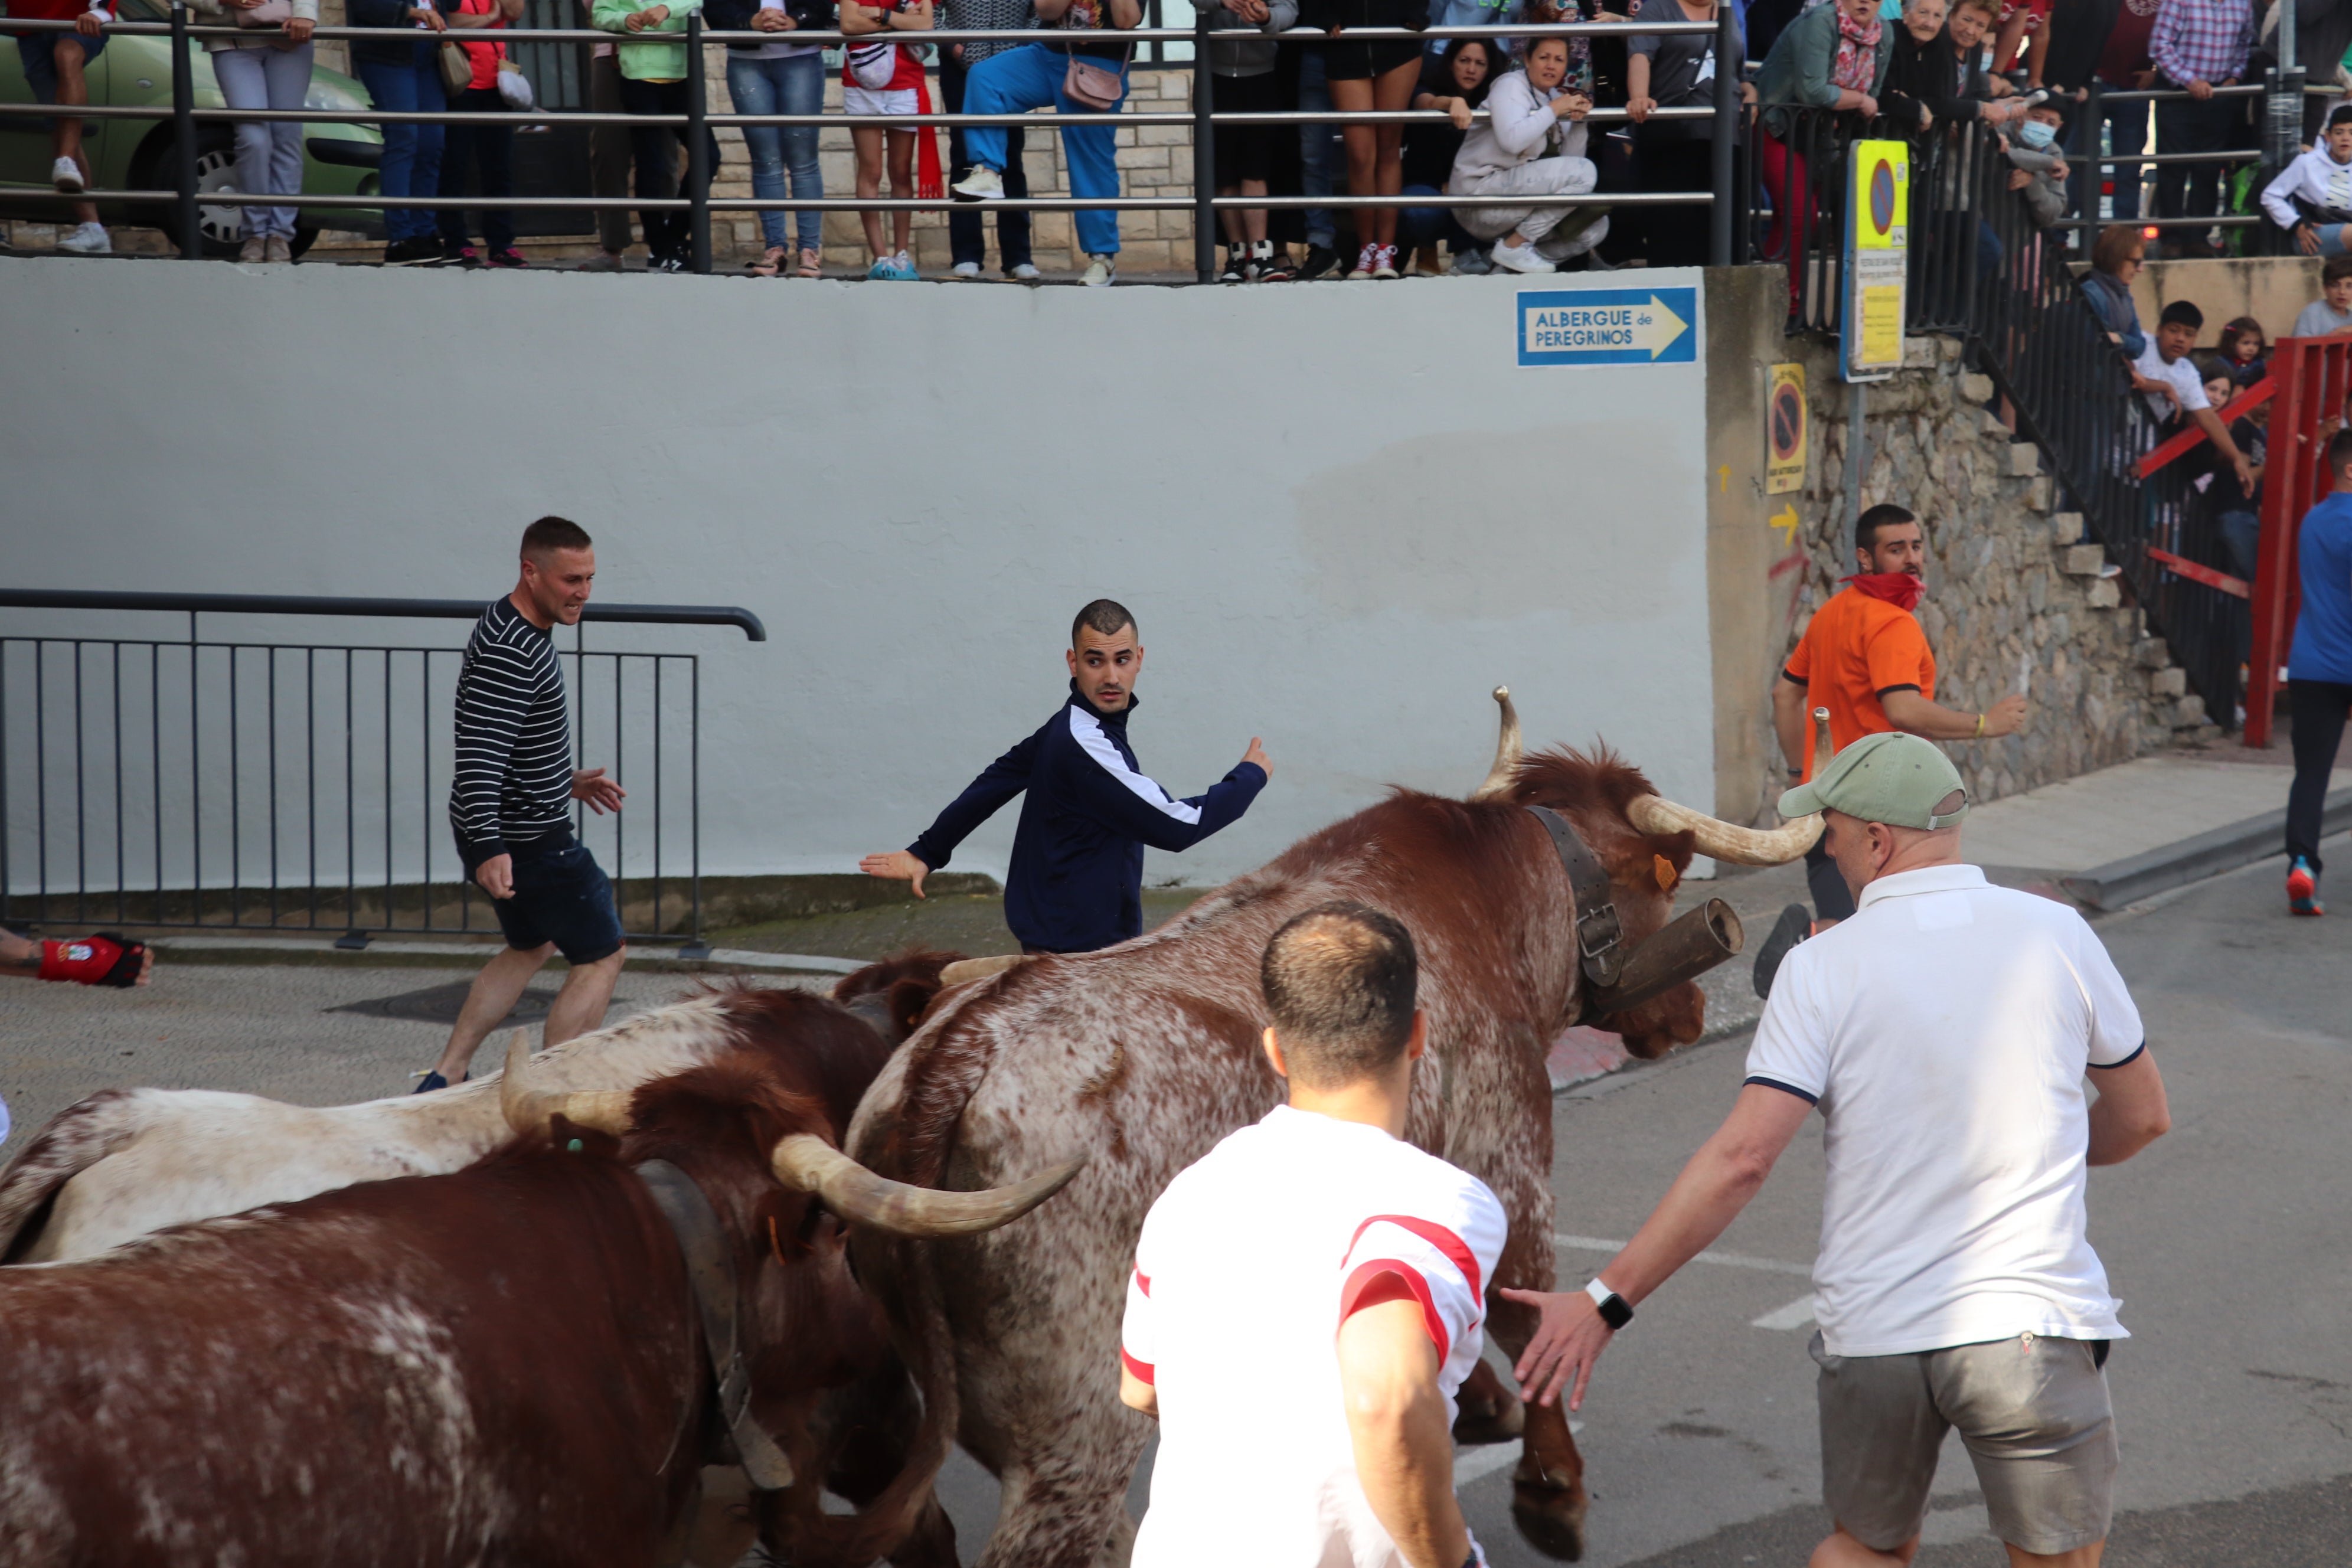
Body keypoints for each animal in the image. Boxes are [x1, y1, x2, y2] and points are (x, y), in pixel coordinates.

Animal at [847, 700, 1815, 1568]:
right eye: (1666, 879)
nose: (1690, 1011)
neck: (1488, 911)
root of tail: (958, 1049)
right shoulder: (1504, 1155)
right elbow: (1523, 1309)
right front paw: (1552, 1487)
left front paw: (1481, 1411)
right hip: (1080, 1421)